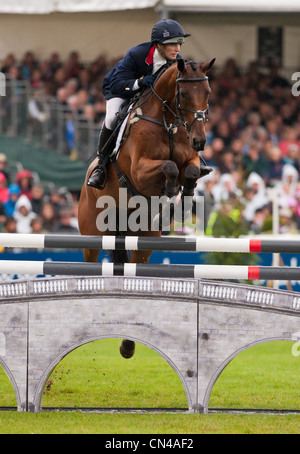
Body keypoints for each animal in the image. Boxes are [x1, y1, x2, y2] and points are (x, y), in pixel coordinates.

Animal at [79, 57, 216, 358]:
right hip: (92, 235)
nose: (200, 141)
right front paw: (171, 189)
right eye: (183, 94)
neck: (168, 122)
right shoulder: (140, 171)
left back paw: (128, 345)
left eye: (208, 92)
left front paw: (182, 198)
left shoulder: (189, 158)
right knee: (90, 263)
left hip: (144, 239)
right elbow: (169, 166)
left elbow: (188, 169)